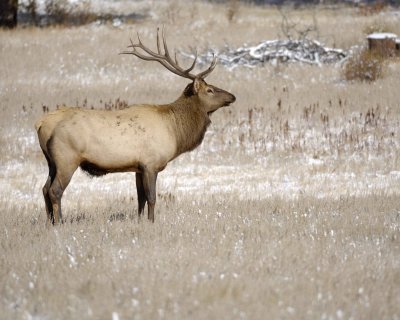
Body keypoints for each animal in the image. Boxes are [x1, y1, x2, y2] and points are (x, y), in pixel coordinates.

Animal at [36, 29, 236, 225]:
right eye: (210, 90)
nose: (233, 96)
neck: (175, 130)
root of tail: (41, 124)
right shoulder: (150, 164)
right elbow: (152, 197)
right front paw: (152, 222)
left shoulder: (138, 167)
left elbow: (140, 198)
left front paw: (140, 221)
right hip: (67, 158)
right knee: (55, 190)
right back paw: (59, 223)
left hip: (51, 161)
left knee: (44, 188)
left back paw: (49, 223)